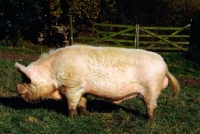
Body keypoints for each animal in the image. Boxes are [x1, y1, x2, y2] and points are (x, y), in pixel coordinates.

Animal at [14, 44, 179, 119]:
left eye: (27, 80)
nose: (17, 88)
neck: (53, 72)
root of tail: (164, 65)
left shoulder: (72, 86)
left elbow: (71, 104)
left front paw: (70, 117)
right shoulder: (82, 89)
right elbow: (82, 102)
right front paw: (83, 114)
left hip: (152, 88)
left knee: (151, 105)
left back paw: (148, 120)